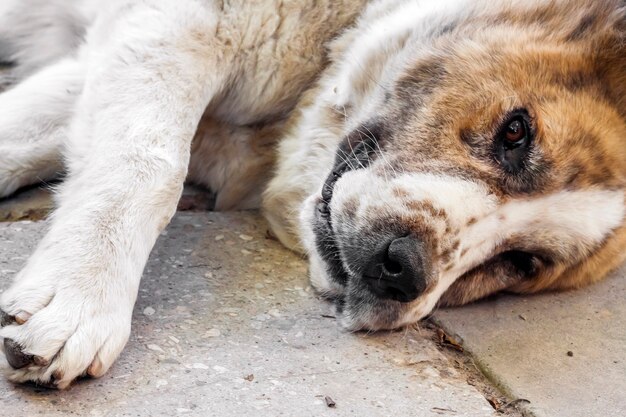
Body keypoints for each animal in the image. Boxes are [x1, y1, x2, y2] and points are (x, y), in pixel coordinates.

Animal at [0, 0, 620, 388]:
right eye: (516, 131)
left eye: (521, 262)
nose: (401, 270)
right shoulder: (182, 26)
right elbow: (149, 160)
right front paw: (81, 299)